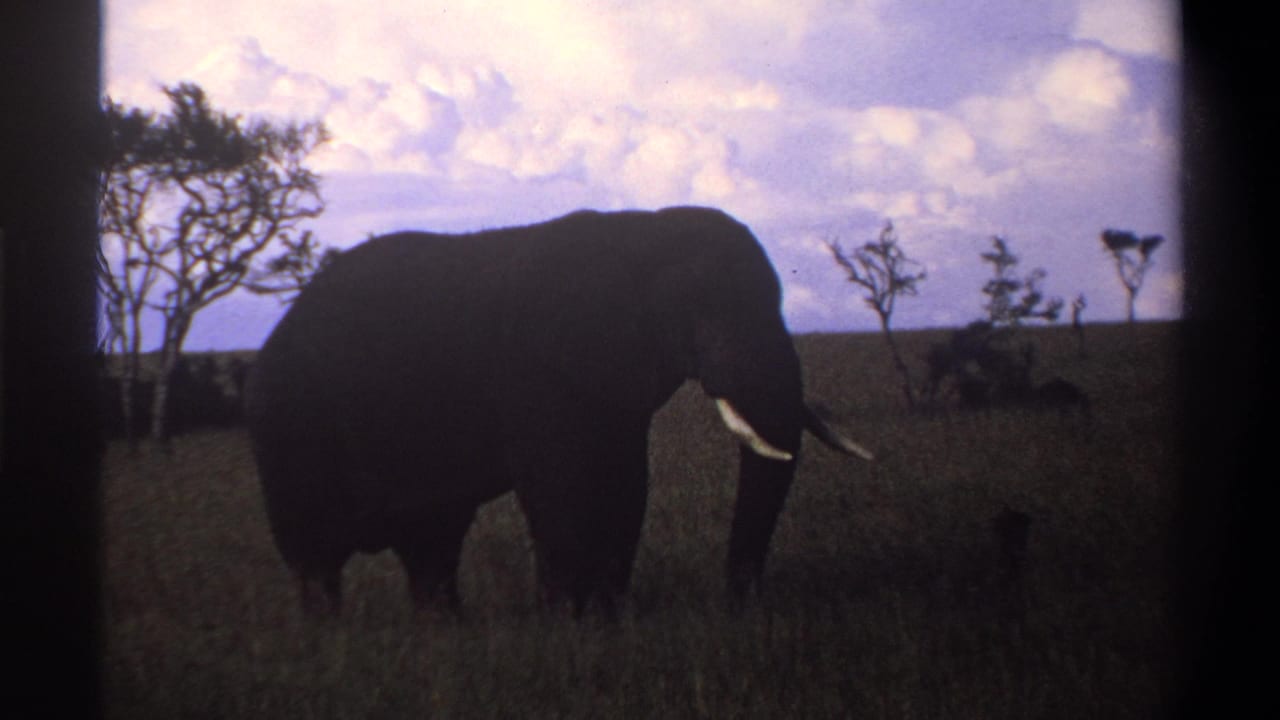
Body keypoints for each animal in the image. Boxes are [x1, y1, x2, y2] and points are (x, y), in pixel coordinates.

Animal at [245, 206, 872, 617]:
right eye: (705, 314)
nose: (739, 604)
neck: (643, 231)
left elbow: (625, 485)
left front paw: (606, 615)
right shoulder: (535, 372)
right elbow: (561, 489)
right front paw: (567, 621)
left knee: (432, 543)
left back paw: (445, 632)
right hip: (289, 428)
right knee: (316, 556)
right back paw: (331, 642)